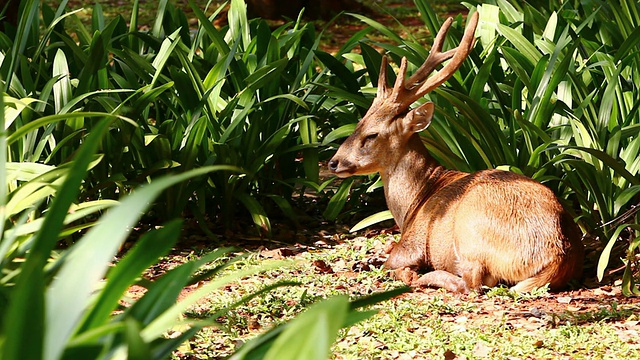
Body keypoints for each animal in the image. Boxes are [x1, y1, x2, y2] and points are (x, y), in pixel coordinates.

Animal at [330, 12, 584, 294]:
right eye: (358, 123)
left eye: (372, 134)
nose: (334, 162)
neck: (415, 203)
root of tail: (557, 256)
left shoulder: (411, 244)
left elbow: (389, 264)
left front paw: (407, 272)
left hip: (470, 230)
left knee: (474, 283)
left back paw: (428, 277)